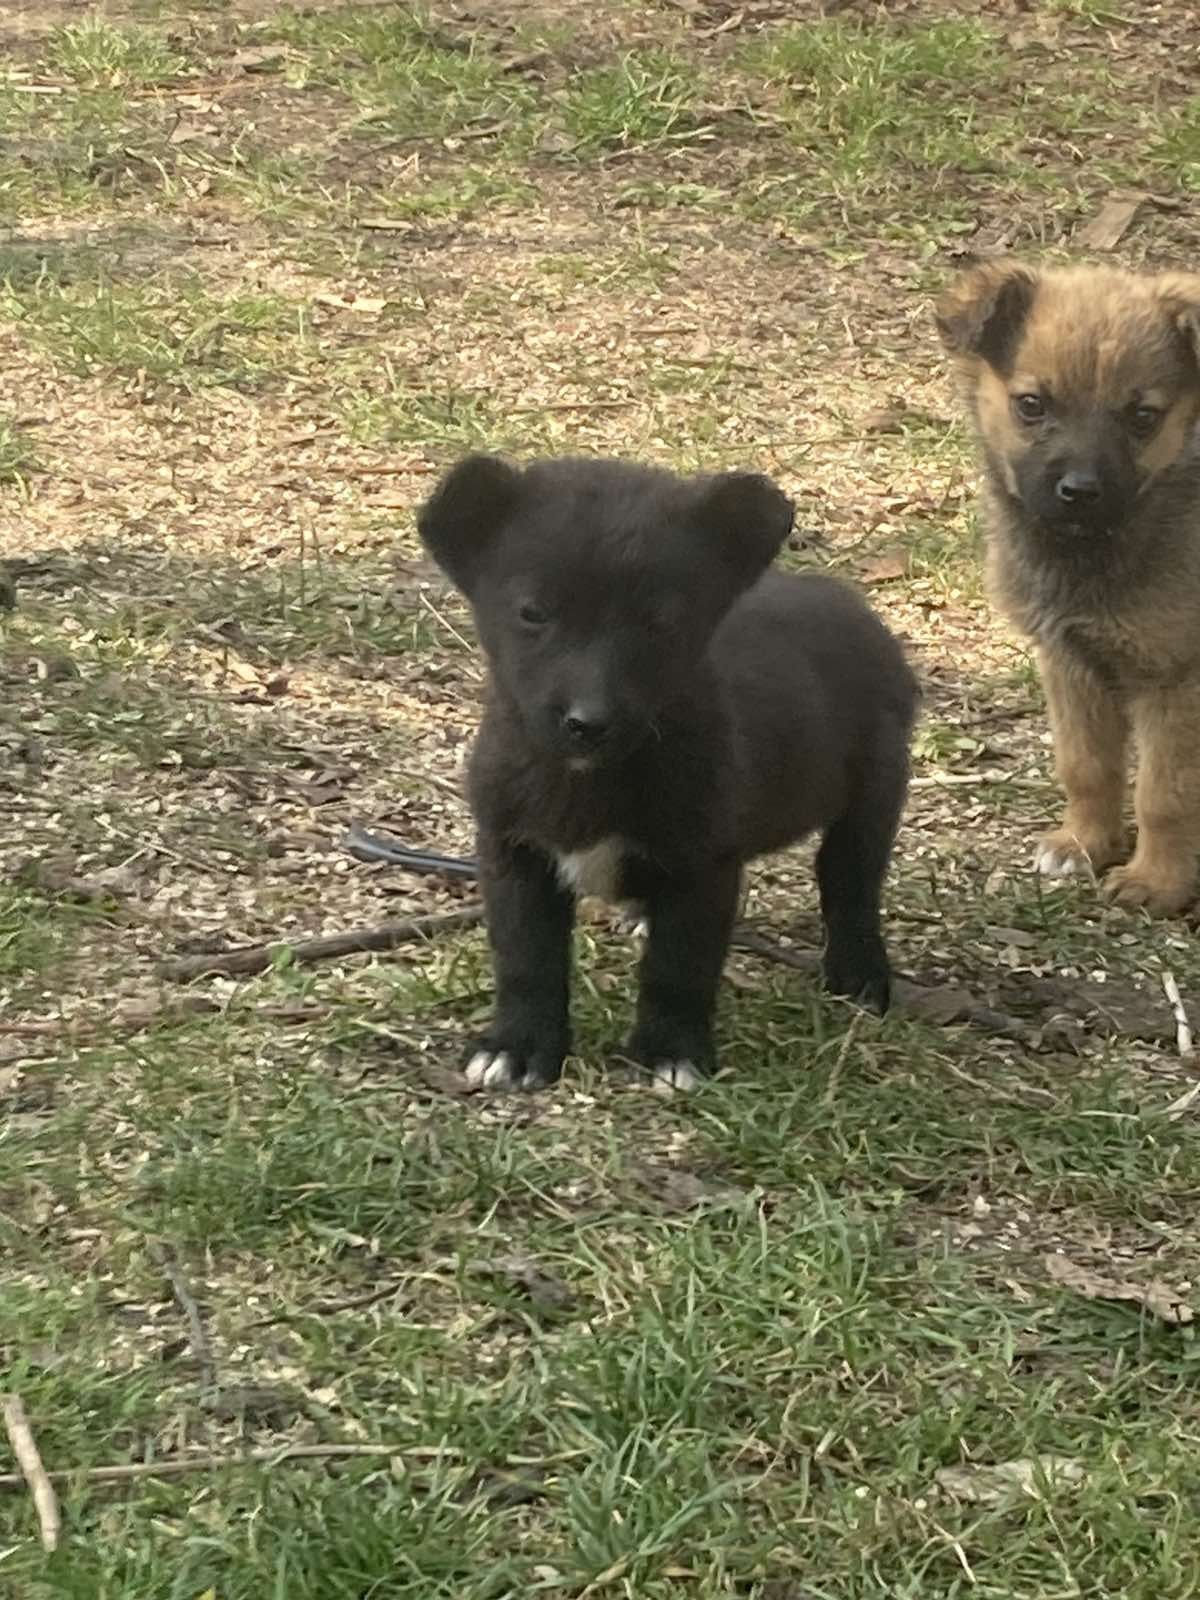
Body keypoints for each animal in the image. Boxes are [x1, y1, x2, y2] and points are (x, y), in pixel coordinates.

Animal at [419, 457, 915, 1094]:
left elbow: (678, 968)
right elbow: (526, 959)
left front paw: (670, 1052)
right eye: (532, 613)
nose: (588, 723)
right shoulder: (512, 851)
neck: (592, 778)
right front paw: (518, 1047)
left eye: (661, 621)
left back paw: (859, 973)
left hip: (874, 790)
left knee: (850, 885)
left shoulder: (701, 867)